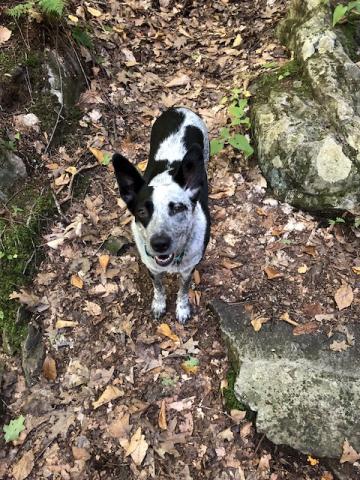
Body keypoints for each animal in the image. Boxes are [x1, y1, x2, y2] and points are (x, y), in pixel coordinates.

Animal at [112, 107, 211, 324]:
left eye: (178, 208)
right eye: (141, 211)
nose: (159, 244)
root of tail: (179, 109)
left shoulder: (188, 270)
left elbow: (183, 291)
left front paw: (182, 308)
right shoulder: (153, 268)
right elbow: (158, 288)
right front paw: (159, 304)